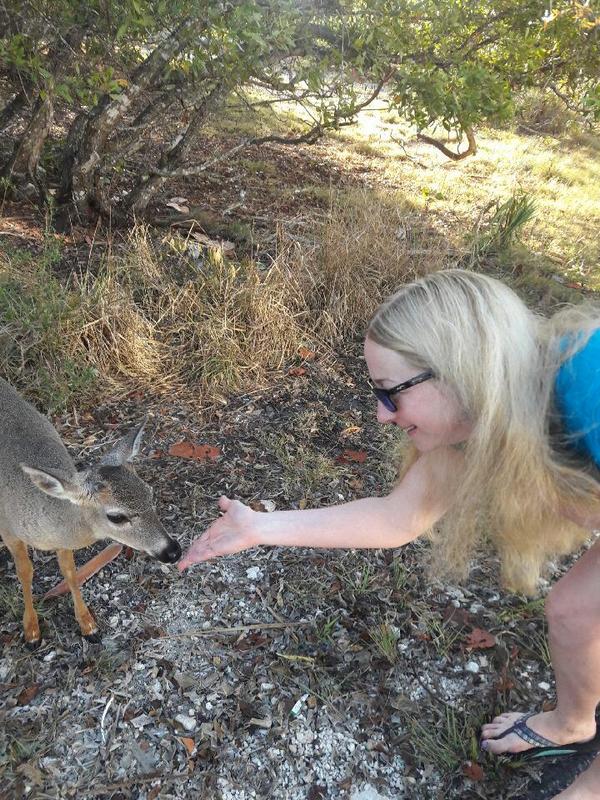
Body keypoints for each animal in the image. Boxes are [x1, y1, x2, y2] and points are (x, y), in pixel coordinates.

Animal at [0, 378, 180, 648]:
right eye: (116, 516)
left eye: (150, 494)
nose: (173, 551)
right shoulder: (8, 529)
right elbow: (25, 571)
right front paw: (31, 630)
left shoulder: (62, 541)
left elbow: (70, 573)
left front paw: (88, 625)